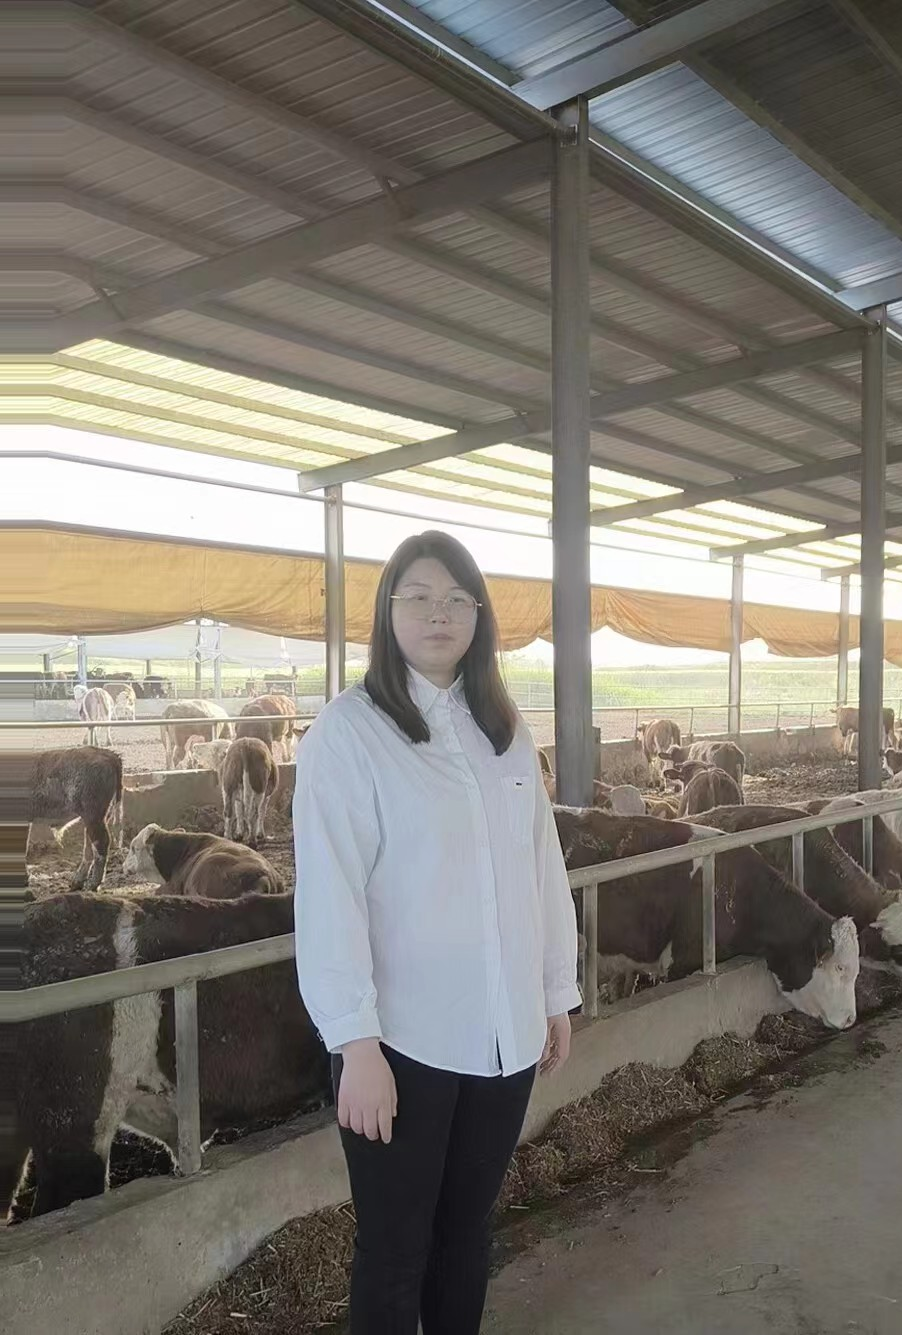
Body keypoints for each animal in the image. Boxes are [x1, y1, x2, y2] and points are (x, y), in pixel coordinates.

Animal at [22, 748, 122, 890]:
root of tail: (109, 755)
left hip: (94, 816)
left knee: (100, 843)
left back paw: (92, 884)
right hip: (96, 818)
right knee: (89, 846)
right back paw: (77, 882)